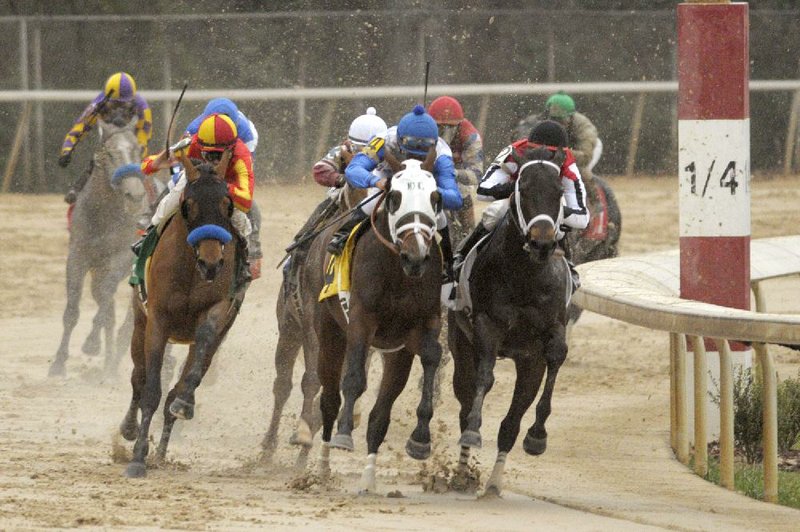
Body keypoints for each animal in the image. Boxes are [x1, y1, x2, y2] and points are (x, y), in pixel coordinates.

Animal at [49, 118, 147, 378]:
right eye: (110, 153)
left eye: (137, 150)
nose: (135, 195)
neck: (104, 214)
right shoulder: (77, 257)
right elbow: (72, 311)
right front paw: (58, 363)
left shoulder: (122, 258)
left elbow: (106, 295)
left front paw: (91, 344)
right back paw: (108, 365)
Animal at [117, 153, 248, 478]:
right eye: (189, 204)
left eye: (228, 204)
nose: (211, 263)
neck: (190, 268)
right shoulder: (158, 319)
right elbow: (150, 390)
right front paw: (137, 458)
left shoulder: (218, 308)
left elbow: (201, 346)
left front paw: (184, 403)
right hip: (139, 324)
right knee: (138, 378)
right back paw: (130, 429)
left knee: (179, 386)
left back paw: (163, 450)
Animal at [308, 152, 444, 492]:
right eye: (395, 197)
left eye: (435, 197)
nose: (416, 256)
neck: (399, 272)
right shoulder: (361, 321)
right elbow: (354, 378)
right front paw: (344, 434)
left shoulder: (419, 327)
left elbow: (432, 355)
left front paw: (420, 440)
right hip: (328, 331)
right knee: (329, 398)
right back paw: (323, 466)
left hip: (396, 355)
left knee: (380, 415)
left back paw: (368, 478)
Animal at [446, 145, 572, 494]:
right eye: (523, 189)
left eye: (559, 192)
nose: (542, 242)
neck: (525, 275)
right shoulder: (486, 326)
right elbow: (484, 378)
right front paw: (473, 431)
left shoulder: (548, 334)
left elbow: (557, 355)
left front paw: (538, 436)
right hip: (460, 343)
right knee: (464, 398)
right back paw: (462, 472)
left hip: (528, 364)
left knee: (511, 422)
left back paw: (492, 484)